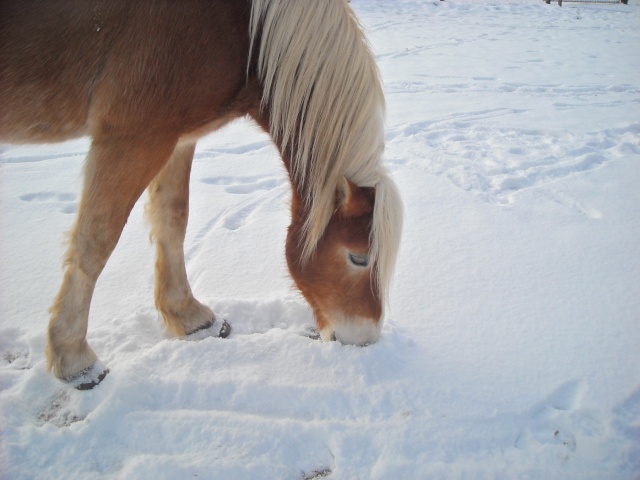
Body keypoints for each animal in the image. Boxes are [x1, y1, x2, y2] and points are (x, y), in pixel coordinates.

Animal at [0, 0, 402, 390]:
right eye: (358, 258)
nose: (365, 339)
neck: (244, 26)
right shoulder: (132, 136)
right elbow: (96, 241)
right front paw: (74, 359)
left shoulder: (177, 136)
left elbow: (172, 220)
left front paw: (190, 318)